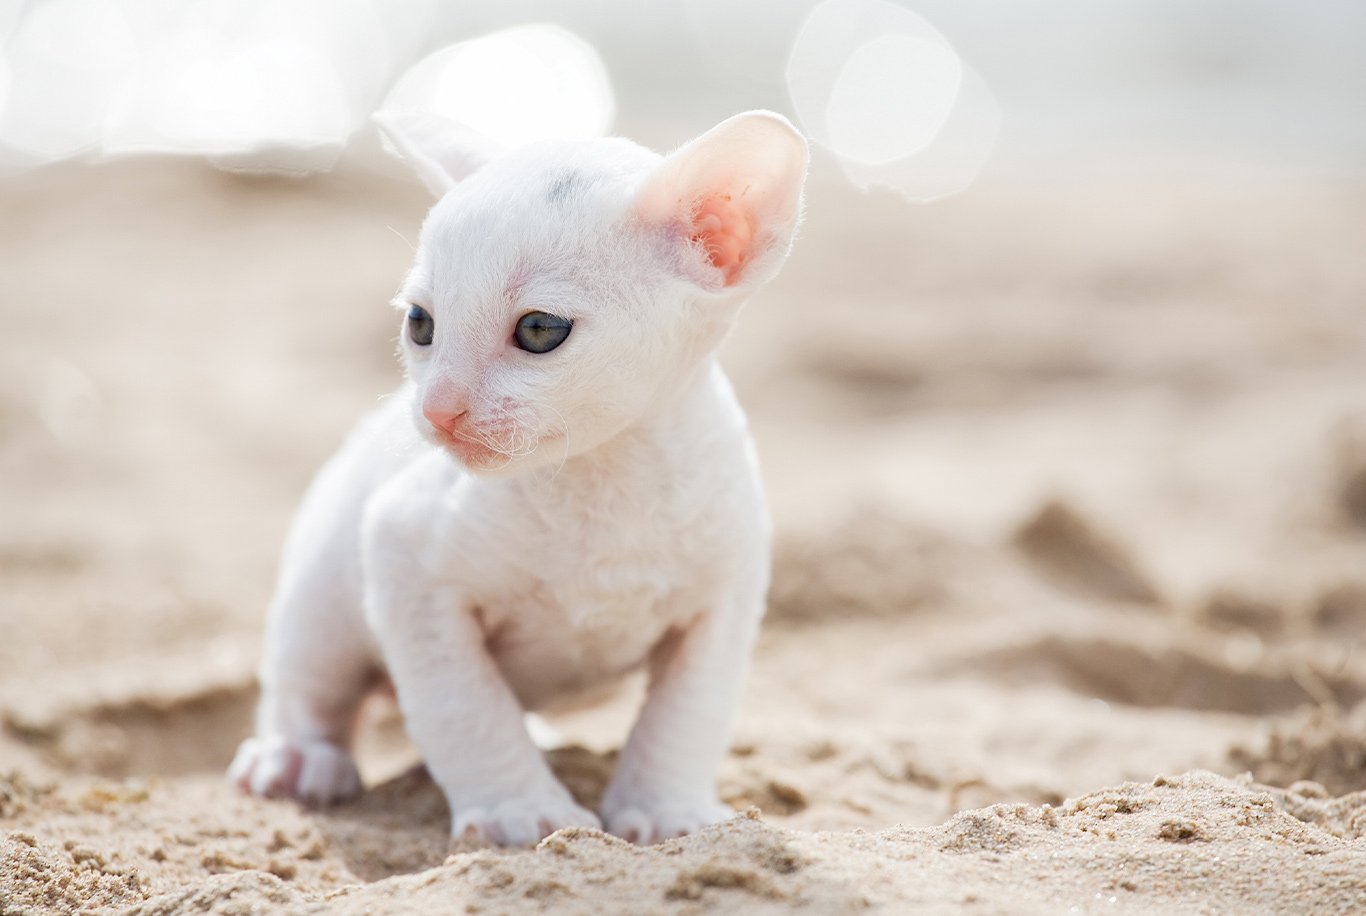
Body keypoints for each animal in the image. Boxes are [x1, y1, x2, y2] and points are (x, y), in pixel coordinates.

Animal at [228, 109, 808, 846]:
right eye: (420, 324)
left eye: (538, 330)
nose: (437, 409)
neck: (602, 479)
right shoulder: (405, 556)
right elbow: (464, 705)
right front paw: (521, 809)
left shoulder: (729, 591)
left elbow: (690, 711)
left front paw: (667, 809)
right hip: (324, 593)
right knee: (306, 681)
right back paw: (300, 756)